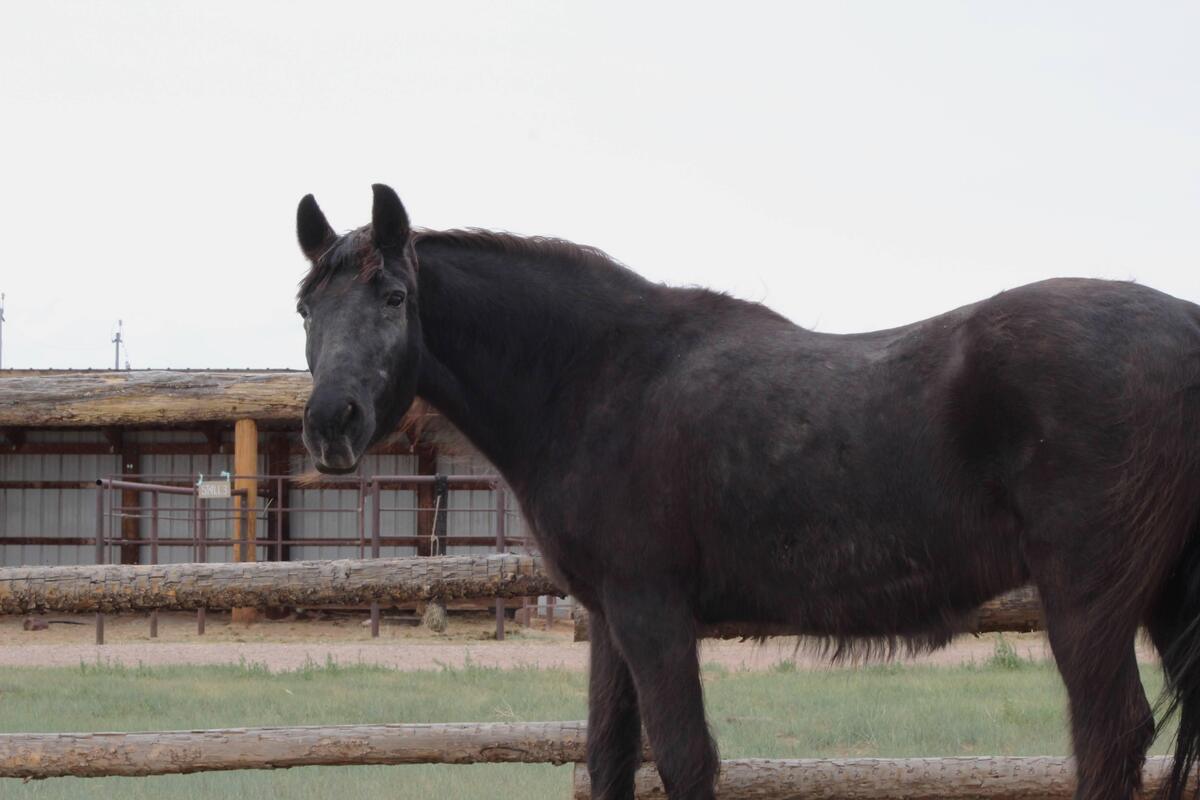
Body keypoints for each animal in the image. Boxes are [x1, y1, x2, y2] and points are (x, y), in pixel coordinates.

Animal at [294, 184, 1200, 800]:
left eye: (395, 296)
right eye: (305, 308)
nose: (331, 423)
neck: (596, 376)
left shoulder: (652, 612)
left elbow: (685, 758)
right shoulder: (609, 619)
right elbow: (610, 756)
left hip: (1086, 598)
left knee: (1109, 736)